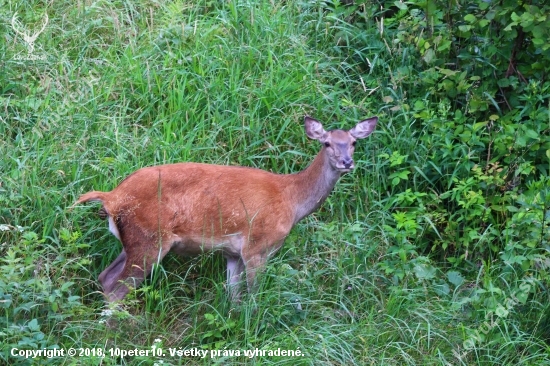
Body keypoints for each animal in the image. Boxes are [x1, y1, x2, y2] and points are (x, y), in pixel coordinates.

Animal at [75, 116, 380, 302]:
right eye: (327, 143)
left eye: (353, 142)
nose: (346, 162)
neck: (292, 200)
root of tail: (111, 196)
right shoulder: (258, 246)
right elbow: (254, 296)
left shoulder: (233, 253)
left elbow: (234, 297)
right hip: (149, 239)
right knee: (116, 290)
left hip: (134, 240)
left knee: (105, 277)